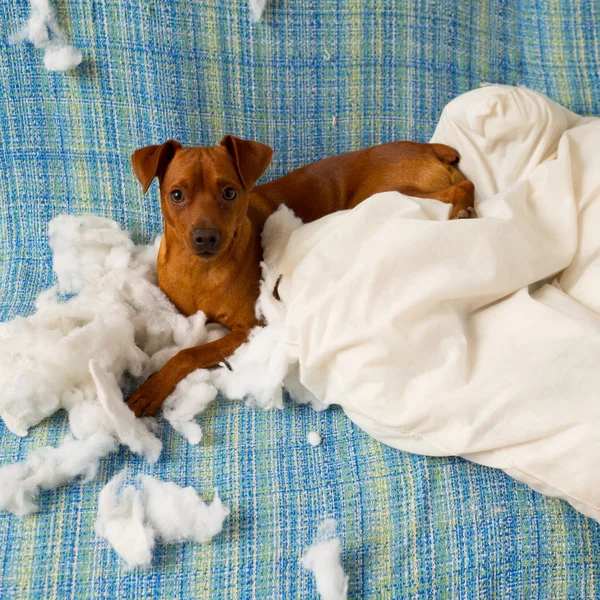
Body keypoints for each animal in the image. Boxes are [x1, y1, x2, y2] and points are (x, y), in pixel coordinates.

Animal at [125, 137, 474, 418]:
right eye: (176, 195)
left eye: (229, 192)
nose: (205, 237)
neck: (200, 272)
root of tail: (428, 147)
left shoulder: (249, 329)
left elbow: (189, 353)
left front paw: (151, 388)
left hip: (390, 193)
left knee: (461, 187)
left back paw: (462, 211)